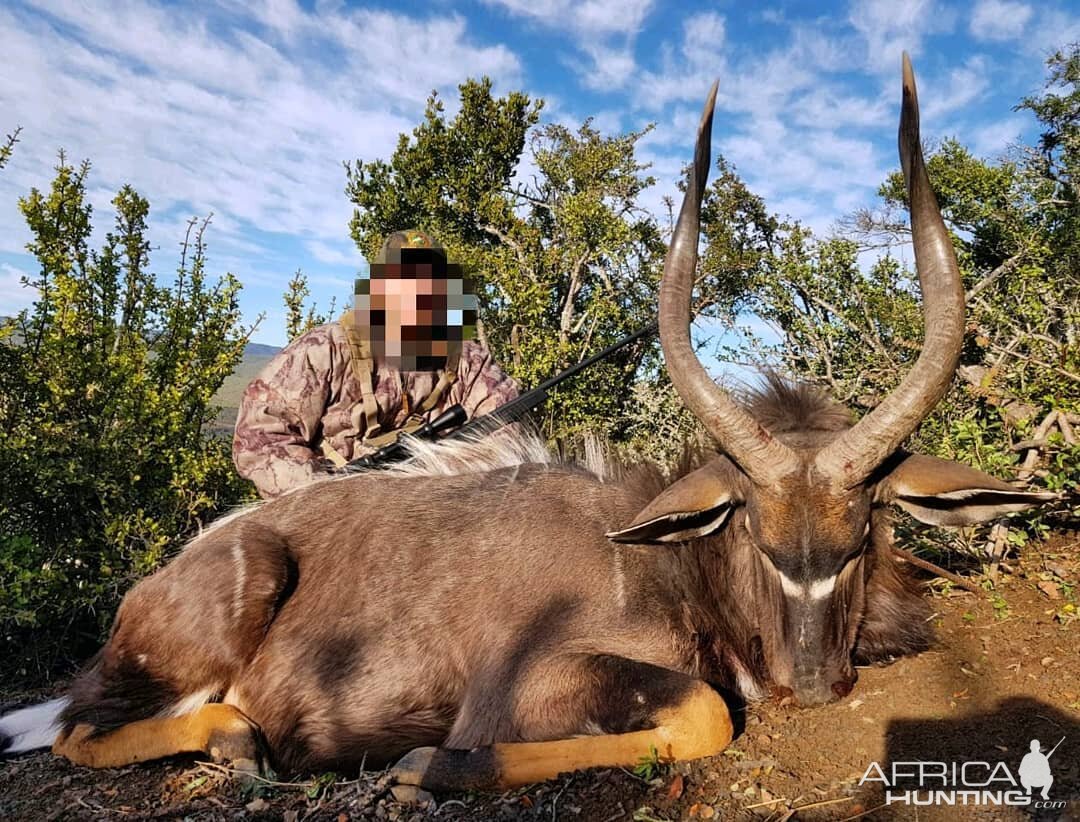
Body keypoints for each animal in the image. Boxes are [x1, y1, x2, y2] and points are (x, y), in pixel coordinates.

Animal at [0, 56, 1049, 790]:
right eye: (756, 531)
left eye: (863, 531)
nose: (812, 680)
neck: (665, 562)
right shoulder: (531, 683)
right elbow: (704, 713)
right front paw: (426, 768)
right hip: (224, 603)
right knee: (76, 732)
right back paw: (234, 741)